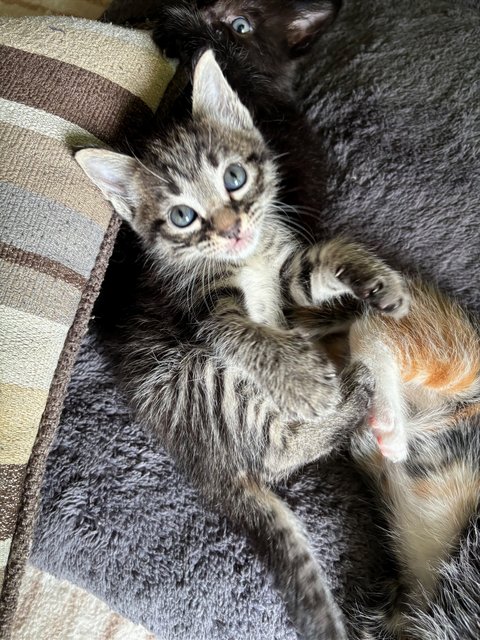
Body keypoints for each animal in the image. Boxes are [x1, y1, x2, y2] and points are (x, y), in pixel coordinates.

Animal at [76, 51, 408, 640]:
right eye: (182, 215)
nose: (232, 229)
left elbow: (320, 260)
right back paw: (351, 392)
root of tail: (205, 466)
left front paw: (373, 278)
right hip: (197, 378)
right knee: (282, 448)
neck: (247, 261)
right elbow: (242, 332)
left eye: (235, 177)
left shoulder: (287, 279)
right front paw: (301, 382)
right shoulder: (202, 312)